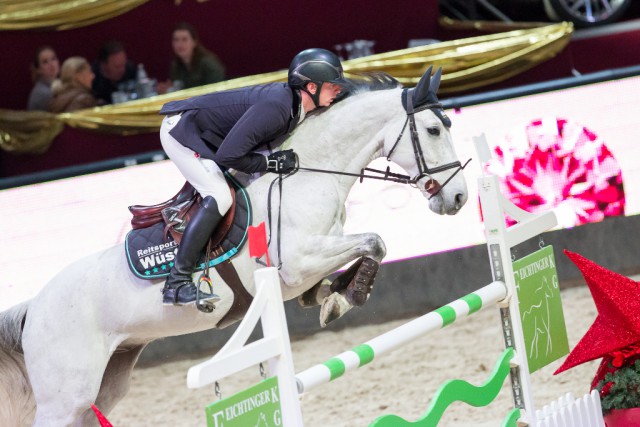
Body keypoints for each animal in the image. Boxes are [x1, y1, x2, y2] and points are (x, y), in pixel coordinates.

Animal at [0, 68, 470, 426]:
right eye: (433, 129)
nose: (459, 198)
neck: (309, 175)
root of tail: (32, 309)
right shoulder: (295, 263)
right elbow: (375, 240)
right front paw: (342, 298)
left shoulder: (316, 256)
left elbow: (365, 250)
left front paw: (331, 295)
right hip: (66, 397)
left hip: (106, 382)